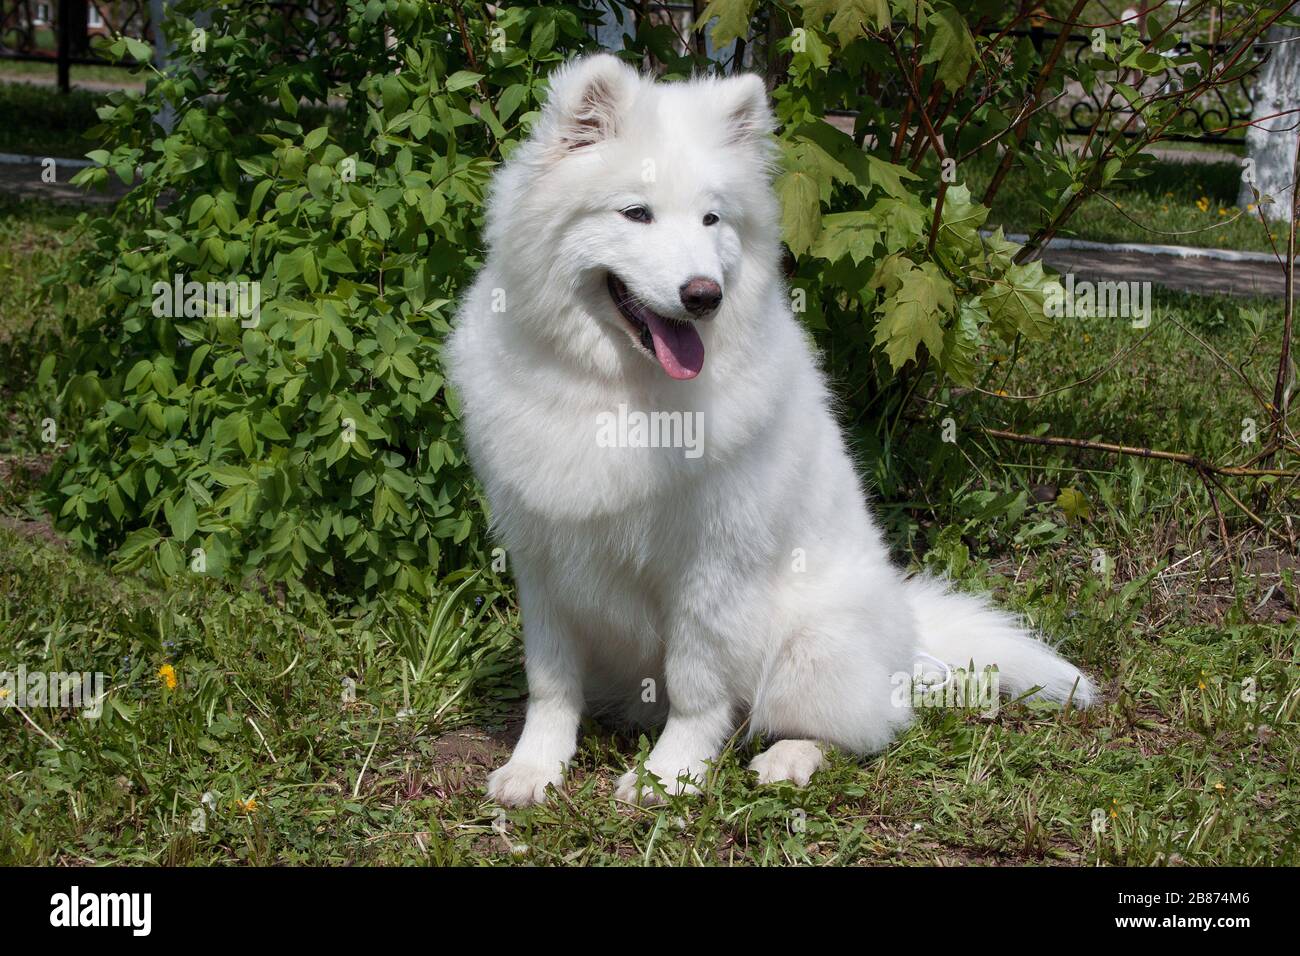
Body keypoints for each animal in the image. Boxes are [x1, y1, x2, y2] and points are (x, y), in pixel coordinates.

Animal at [447, 54, 1097, 806]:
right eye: (636, 213)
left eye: (712, 218)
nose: (704, 295)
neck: (614, 391)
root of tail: (906, 627)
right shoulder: (544, 562)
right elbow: (551, 685)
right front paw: (536, 768)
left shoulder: (712, 570)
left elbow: (696, 688)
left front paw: (669, 776)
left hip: (809, 646)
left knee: (861, 725)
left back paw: (788, 760)